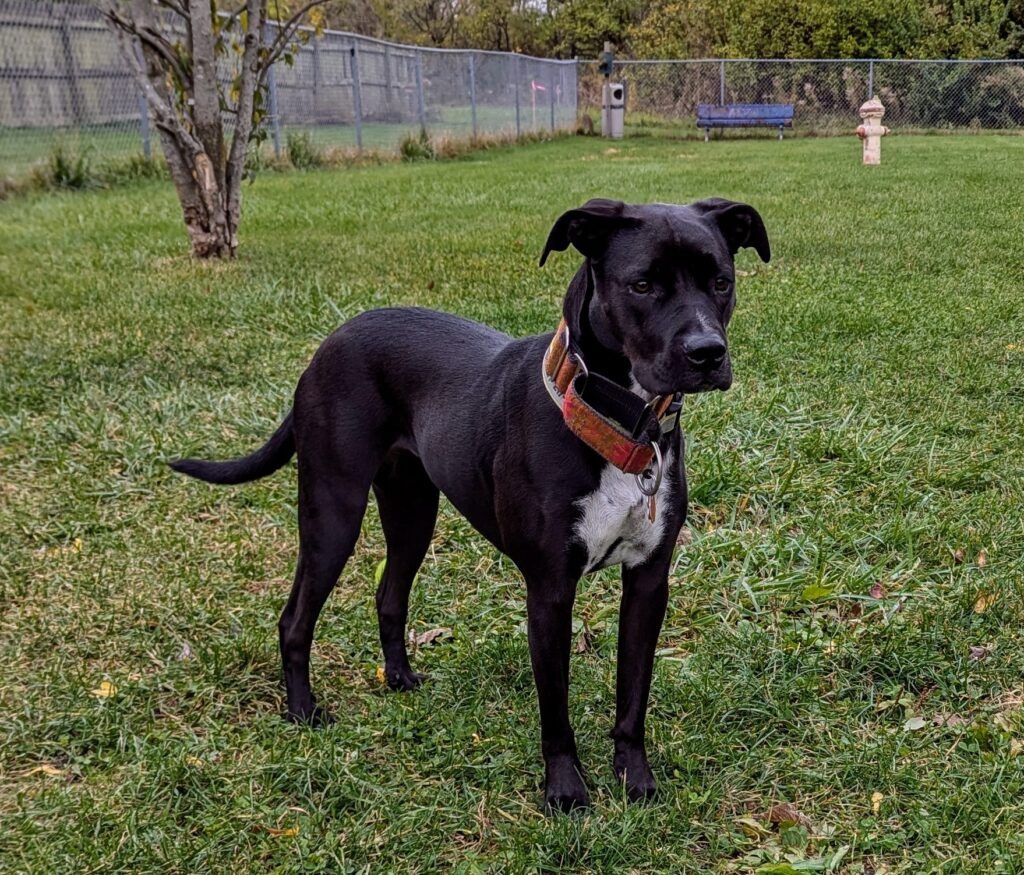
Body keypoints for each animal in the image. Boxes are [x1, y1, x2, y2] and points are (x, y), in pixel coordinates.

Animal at [172, 200, 770, 815]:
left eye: (721, 281)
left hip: (413, 511)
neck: (614, 421)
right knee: (295, 617)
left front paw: (635, 778)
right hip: (333, 511)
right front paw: (565, 790)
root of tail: (330, 343)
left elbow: (633, 693)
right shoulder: (550, 590)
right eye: (643, 285)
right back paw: (302, 711)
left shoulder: (649, 582)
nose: (708, 353)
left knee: (389, 595)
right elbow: (555, 709)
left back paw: (399, 678)